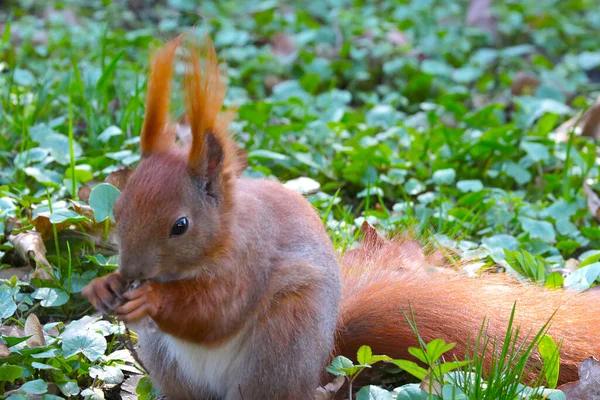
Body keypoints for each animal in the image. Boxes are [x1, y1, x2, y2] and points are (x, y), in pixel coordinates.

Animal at [83, 36, 600, 396]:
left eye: (180, 226)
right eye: (119, 208)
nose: (130, 272)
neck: (223, 235)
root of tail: (323, 362)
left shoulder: (250, 261)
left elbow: (216, 313)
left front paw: (151, 300)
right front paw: (103, 287)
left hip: (281, 341)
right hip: (168, 361)